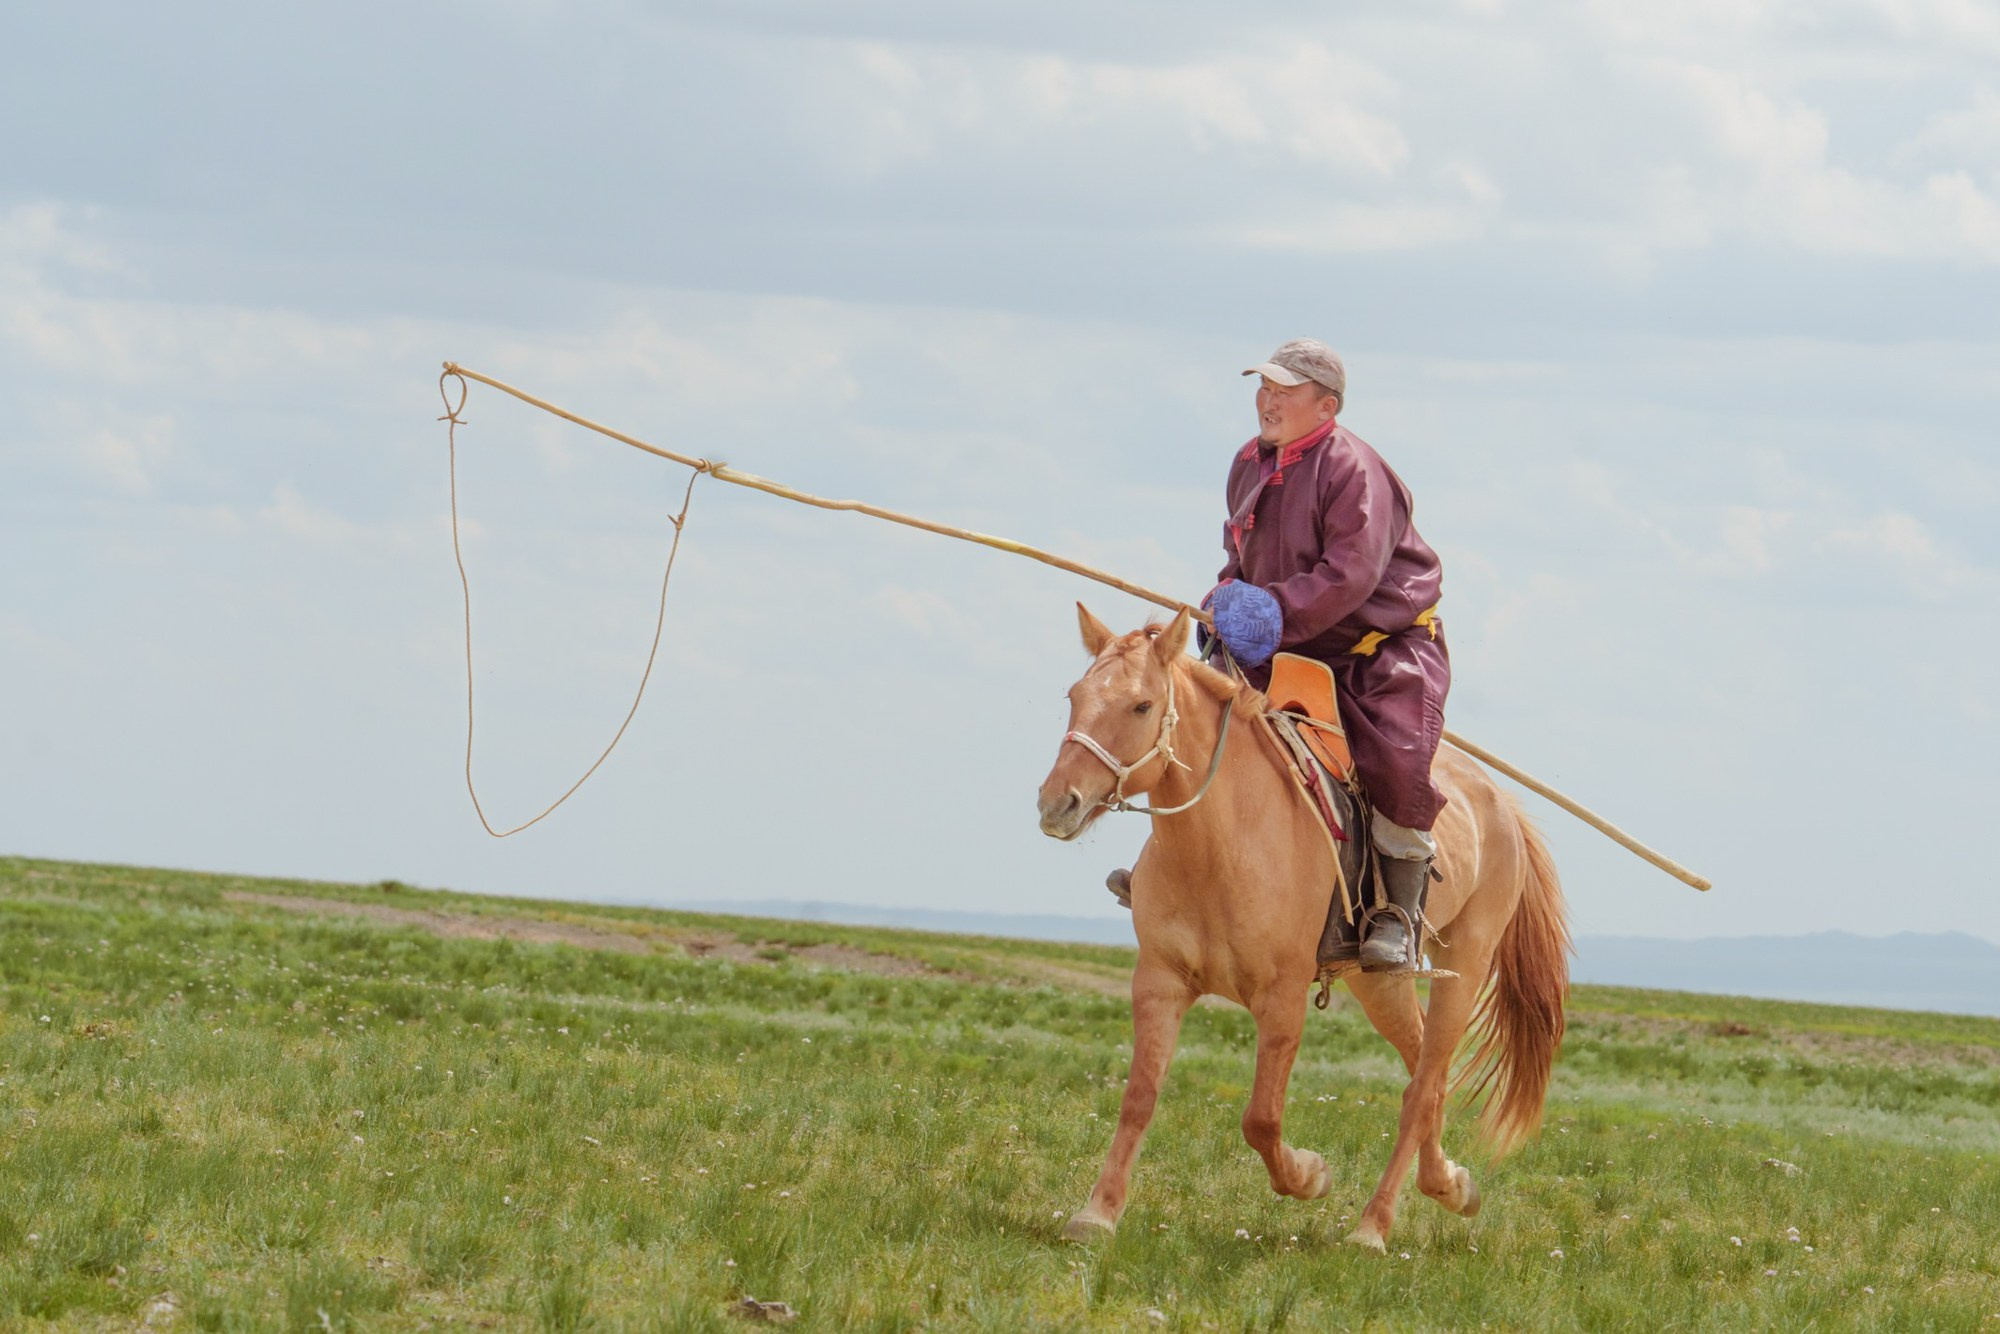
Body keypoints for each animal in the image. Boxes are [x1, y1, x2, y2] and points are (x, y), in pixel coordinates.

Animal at [1035, 605, 1569, 1252]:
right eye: (1075, 696)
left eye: (1141, 705)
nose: (1056, 804)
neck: (1221, 842)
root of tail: (1501, 804)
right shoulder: (1159, 981)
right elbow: (1139, 1097)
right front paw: (1098, 1213)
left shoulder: (1282, 997)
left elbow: (1261, 1119)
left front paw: (1310, 1175)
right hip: (1379, 982)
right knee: (1428, 1069)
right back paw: (1449, 1184)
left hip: (1465, 965)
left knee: (1421, 1088)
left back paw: (1372, 1228)